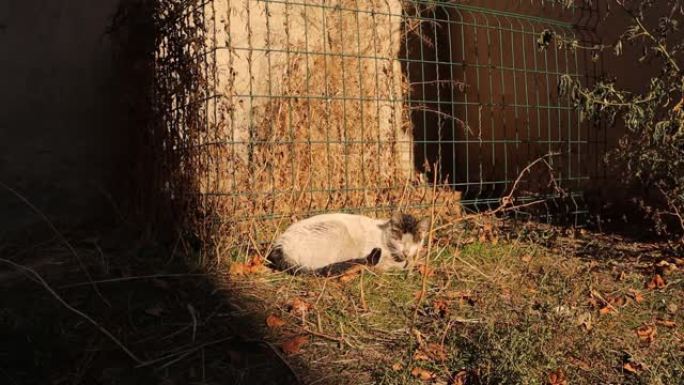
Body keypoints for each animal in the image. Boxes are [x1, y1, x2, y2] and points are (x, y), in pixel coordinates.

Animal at [266, 212, 428, 274]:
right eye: (399, 240)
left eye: (414, 242)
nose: (406, 251)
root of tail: (280, 245)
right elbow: (394, 265)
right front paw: (405, 265)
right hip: (337, 230)